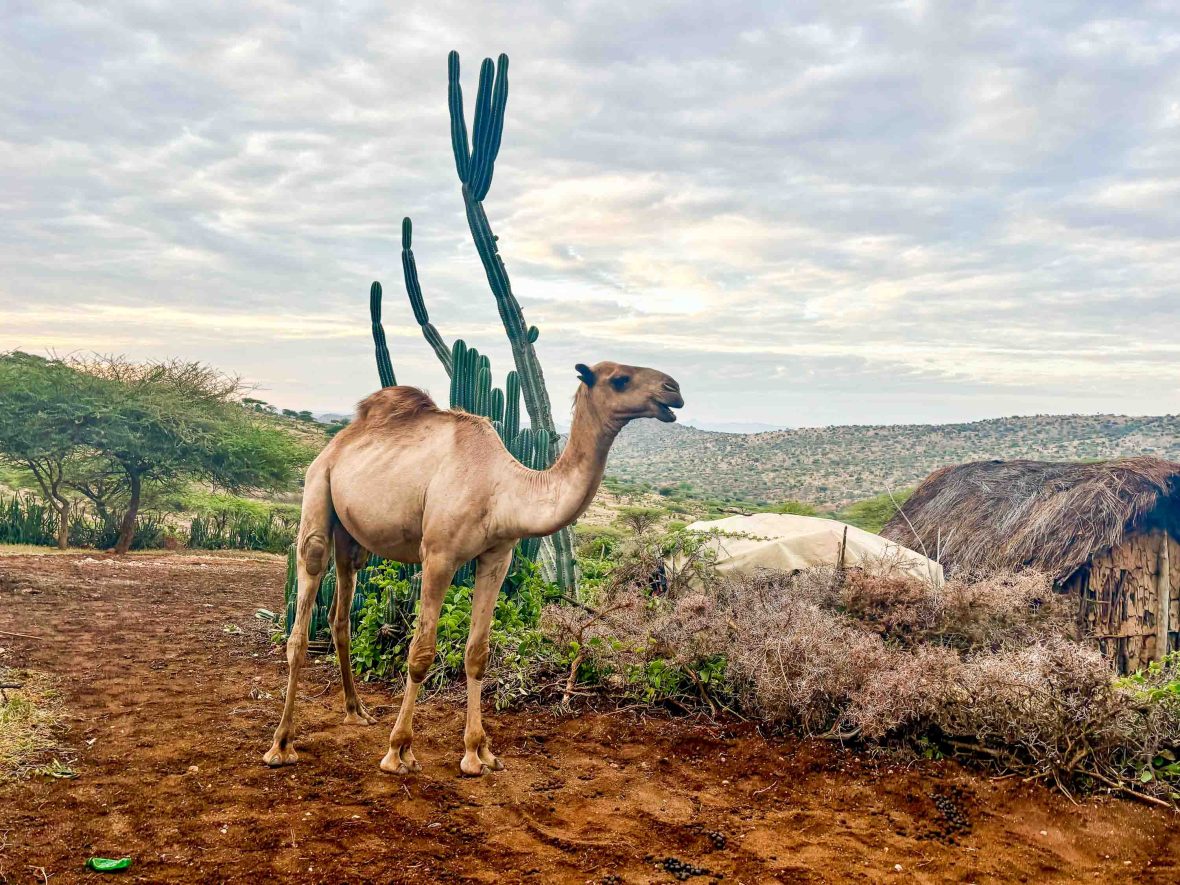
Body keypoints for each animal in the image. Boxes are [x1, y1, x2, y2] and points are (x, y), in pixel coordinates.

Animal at [261, 361, 679, 774]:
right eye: (620, 379)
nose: (673, 389)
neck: (502, 490)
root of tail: (339, 442)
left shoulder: (498, 556)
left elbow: (477, 653)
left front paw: (478, 753)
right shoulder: (439, 555)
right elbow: (421, 653)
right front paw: (399, 751)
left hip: (351, 537)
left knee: (340, 615)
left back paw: (356, 711)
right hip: (318, 488)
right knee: (304, 609)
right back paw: (281, 744)